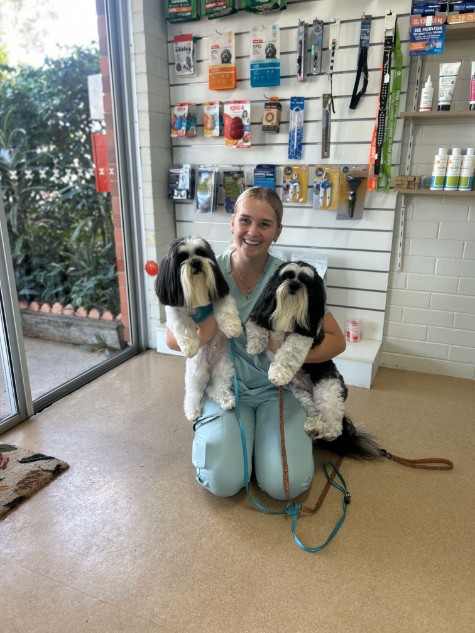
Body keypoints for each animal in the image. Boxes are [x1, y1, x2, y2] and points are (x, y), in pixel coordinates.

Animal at [156, 236, 244, 420]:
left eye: (201, 253)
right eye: (181, 257)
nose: (196, 262)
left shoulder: (219, 293)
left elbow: (226, 309)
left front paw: (232, 328)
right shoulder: (174, 311)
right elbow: (182, 326)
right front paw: (189, 346)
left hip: (224, 367)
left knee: (216, 387)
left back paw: (226, 399)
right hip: (196, 371)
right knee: (194, 392)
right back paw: (192, 410)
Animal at [247, 260, 382, 456]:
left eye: (306, 282)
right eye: (287, 276)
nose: (294, 285)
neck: (289, 311)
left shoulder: (303, 334)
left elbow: (288, 351)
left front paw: (277, 373)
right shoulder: (263, 314)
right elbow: (255, 325)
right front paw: (254, 345)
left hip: (328, 390)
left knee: (334, 428)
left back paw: (319, 430)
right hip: (301, 393)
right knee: (314, 409)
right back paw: (314, 425)